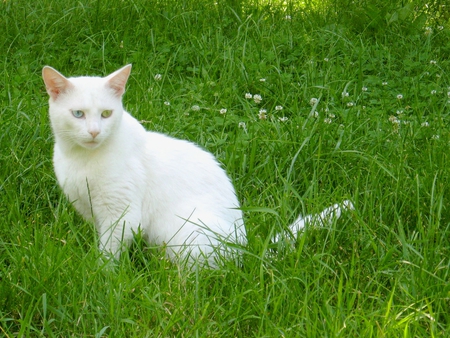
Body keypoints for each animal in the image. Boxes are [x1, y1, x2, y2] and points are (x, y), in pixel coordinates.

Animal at [41, 64, 352, 266]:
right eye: (78, 114)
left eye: (106, 114)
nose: (94, 132)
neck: (81, 160)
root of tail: (245, 249)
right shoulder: (89, 209)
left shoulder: (122, 214)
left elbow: (110, 251)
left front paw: (103, 277)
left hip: (186, 231)